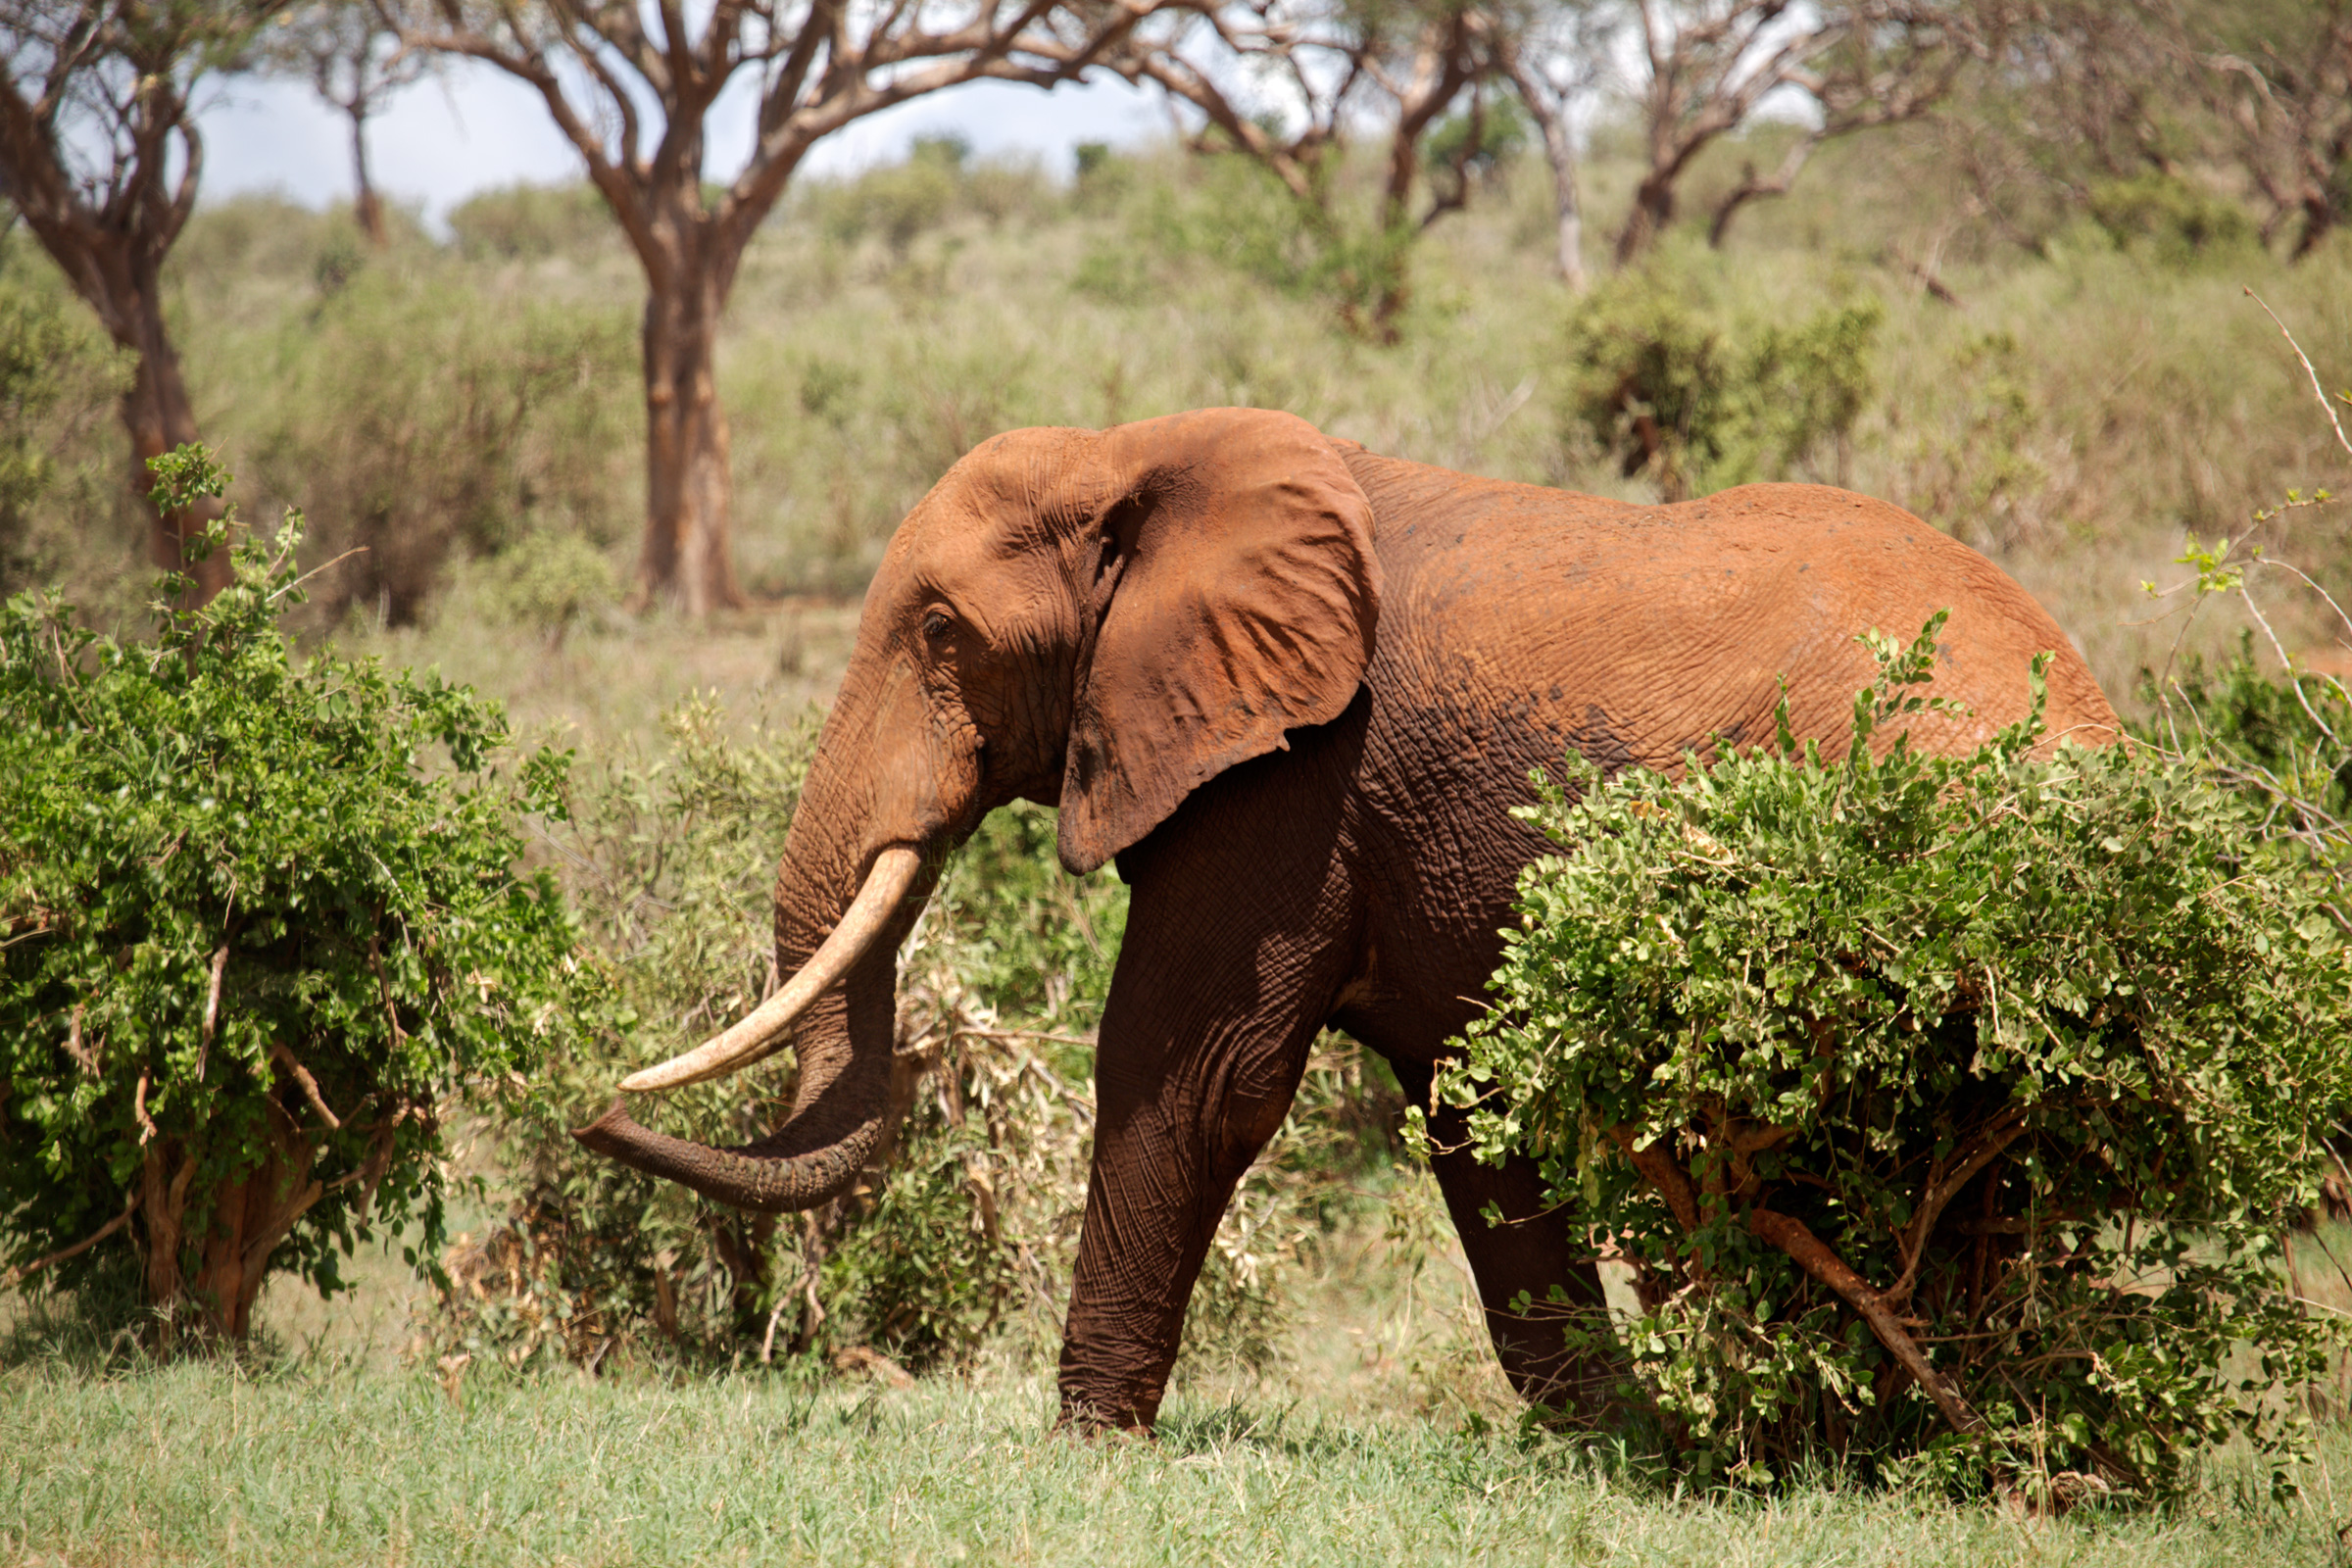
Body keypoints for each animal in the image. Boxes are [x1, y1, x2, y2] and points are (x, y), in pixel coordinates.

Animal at [576, 406, 2119, 1432]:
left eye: (941, 632)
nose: (591, 1109)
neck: (1143, 447)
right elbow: (1473, 1109)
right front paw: (1612, 1446)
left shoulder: (1296, 775)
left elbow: (1193, 1077)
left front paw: (1086, 1442)